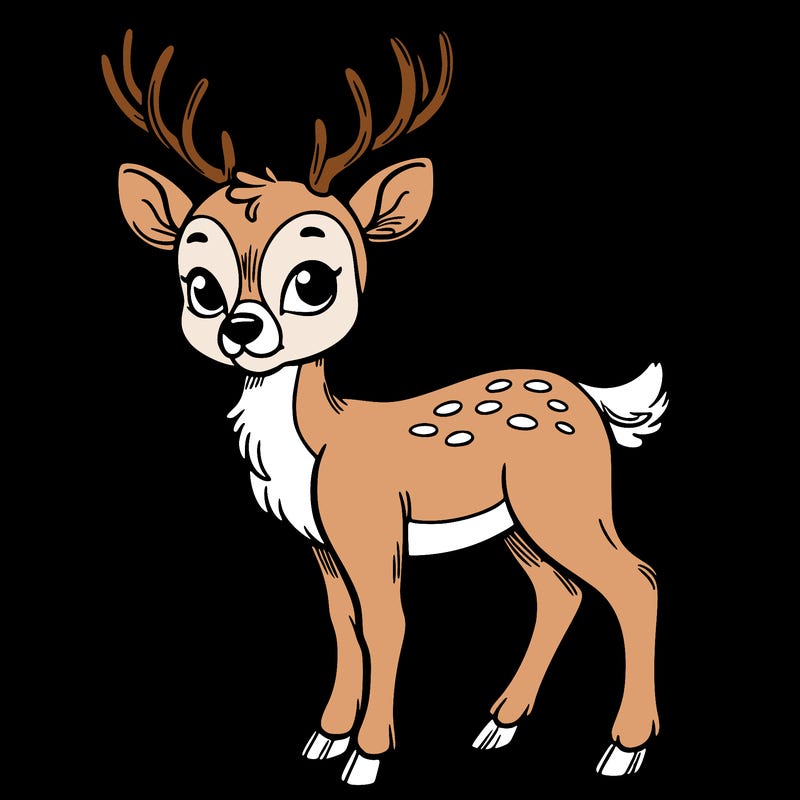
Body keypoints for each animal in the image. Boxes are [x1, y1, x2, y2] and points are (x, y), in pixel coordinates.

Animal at [101, 28, 668, 786]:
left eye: (314, 280)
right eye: (200, 285)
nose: (241, 329)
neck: (315, 443)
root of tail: (593, 399)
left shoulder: (371, 525)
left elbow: (386, 624)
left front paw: (366, 757)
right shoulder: (322, 541)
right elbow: (342, 626)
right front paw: (324, 737)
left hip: (567, 499)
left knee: (635, 580)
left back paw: (623, 749)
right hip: (516, 521)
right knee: (561, 592)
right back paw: (499, 724)